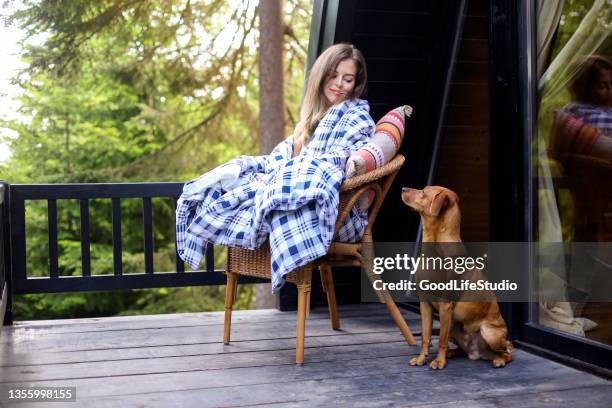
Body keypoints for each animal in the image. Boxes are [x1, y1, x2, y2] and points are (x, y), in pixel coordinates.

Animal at [400, 186, 512, 368]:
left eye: (423, 192)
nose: (403, 188)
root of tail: (478, 353)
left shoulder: (445, 305)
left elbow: (441, 340)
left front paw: (439, 361)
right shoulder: (424, 303)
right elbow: (426, 336)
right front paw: (422, 358)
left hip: (489, 333)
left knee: (507, 352)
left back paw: (499, 360)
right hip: (454, 325)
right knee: (462, 349)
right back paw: (453, 353)